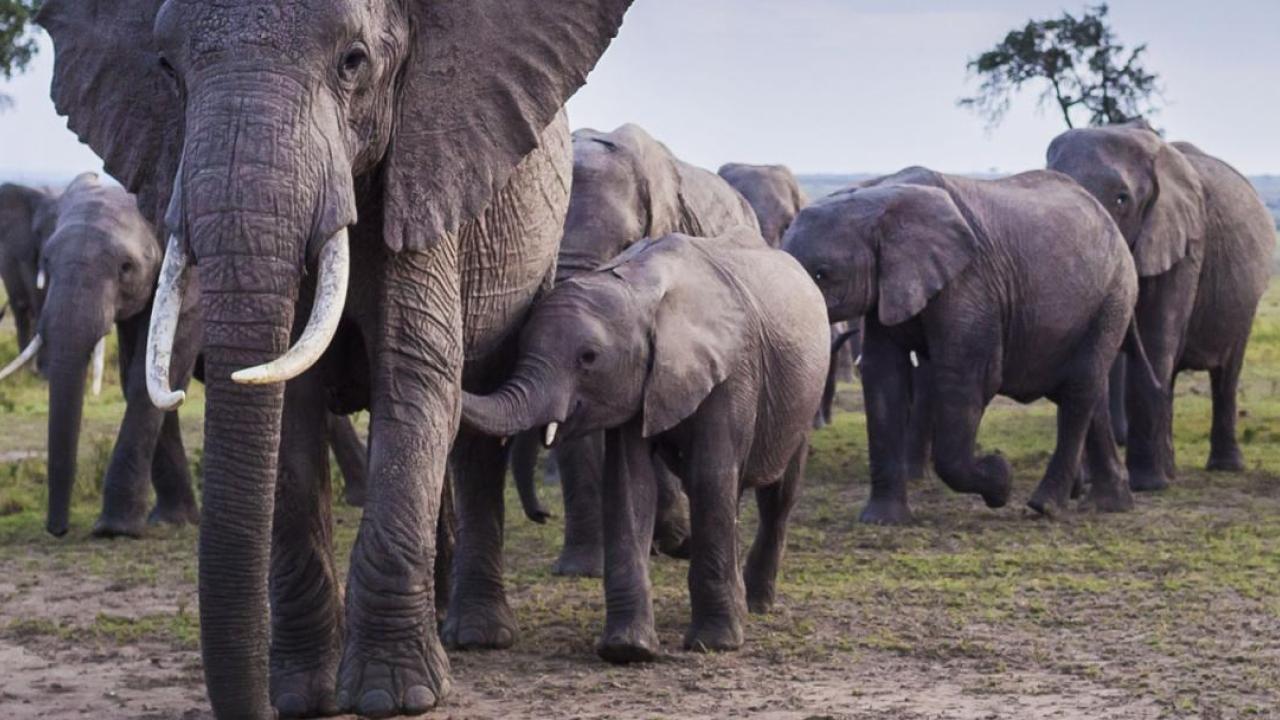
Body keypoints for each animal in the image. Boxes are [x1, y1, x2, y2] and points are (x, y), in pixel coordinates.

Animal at [39, 1, 632, 718]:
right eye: (166, 68)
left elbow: (414, 376)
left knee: (474, 426)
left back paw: (472, 636)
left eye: (354, 62)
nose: (257, 705)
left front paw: (391, 696)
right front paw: (301, 695)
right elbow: (289, 409)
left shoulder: (425, 173)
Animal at [462, 228, 829, 661]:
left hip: (804, 397)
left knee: (777, 495)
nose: (543, 516)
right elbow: (630, 485)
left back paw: (756, 605)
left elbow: (709, 478)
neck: (639, 288)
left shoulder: (732, 371)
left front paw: (714, 644)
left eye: (588, 358)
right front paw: (627, 650)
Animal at [784, 166, 1148, 523]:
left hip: (1113, 297)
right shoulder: (891, 286)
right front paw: (881, 520)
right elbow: (883, 376)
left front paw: (1000, 479)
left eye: (822, 274)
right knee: (1089, 390)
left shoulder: (969, 284)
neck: (878, 196)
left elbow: (969, 379)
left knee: (1079, 389)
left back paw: (1045, 506)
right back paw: (1110, 504)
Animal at [1047, 122, 1276, 490]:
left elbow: (1155, 340)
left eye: (1122, 199)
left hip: (1247, 302)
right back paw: (1169, 470)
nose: (1078, 488)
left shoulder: (1184, 244)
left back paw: (1222, 468)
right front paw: (1086, 487)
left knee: (1225, 374)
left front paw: (1146, 485)